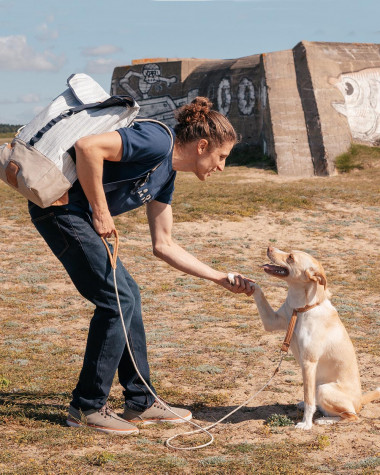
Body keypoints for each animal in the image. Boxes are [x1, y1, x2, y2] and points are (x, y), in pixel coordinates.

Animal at [251, 249, 378, 432]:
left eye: (290, 257)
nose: (268, 247)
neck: (301, 308)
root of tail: (360, 401)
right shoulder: (271, 321)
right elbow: (259, 291)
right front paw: (237, 279)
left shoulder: (308, 363)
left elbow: (310, 401)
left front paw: (306, 423)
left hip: (323, 389)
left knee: (351, 416)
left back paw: (325, 420)